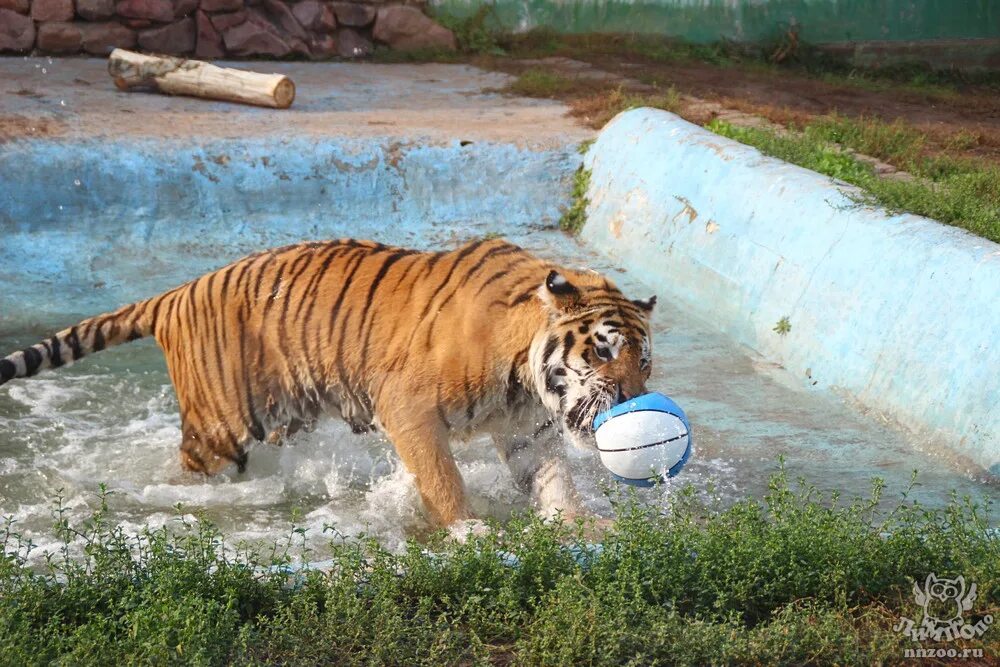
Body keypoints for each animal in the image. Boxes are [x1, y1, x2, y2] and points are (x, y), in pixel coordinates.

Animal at [1, 239, 656, 528]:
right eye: (603, 349)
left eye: (644, 361)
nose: (633, 399)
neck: (522, 376)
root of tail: (176, 293)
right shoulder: (409, 408)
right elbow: (442, 480)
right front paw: (468, 533)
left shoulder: (527, 431)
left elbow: (554, 483)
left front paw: (582, 527)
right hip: (218, 433)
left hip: (279, 417)